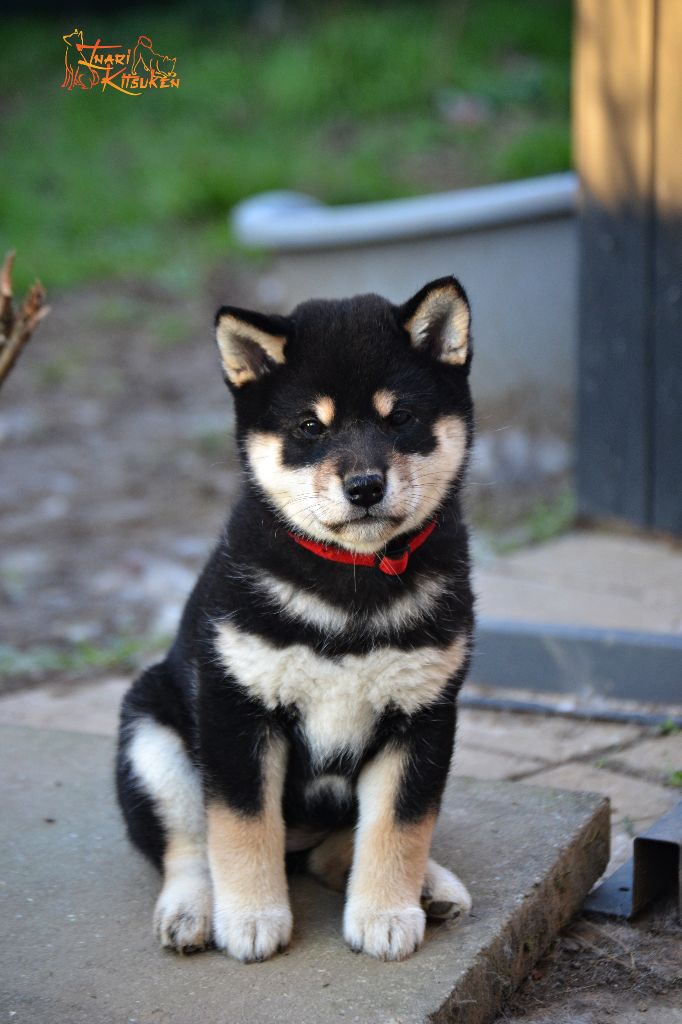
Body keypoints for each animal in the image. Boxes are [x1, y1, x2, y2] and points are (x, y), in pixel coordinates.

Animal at [115, 276, 473, 962]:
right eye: (311, 426)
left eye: (401, 418)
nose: (365, 485)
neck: (352, 582)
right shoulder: (238, 711)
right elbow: (241, 826)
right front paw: (252, 918)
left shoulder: (423, 717)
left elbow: (400, 825)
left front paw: (385, 912)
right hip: (153, 740)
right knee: (186, 843)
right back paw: (192, 907)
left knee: (336, 849)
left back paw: (429, 885)